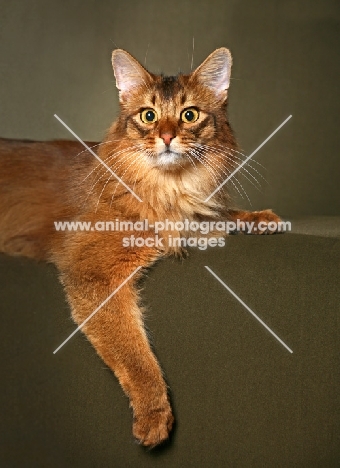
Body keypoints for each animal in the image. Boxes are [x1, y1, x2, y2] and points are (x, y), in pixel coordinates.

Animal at [0, 46, 282, 446]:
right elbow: (133, 352)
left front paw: (258, 217)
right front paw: (154, 412)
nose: (166, 137)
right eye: (148, 116)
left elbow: (219, 214)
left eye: (189, 114)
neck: (169, 187)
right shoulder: (94, 274)